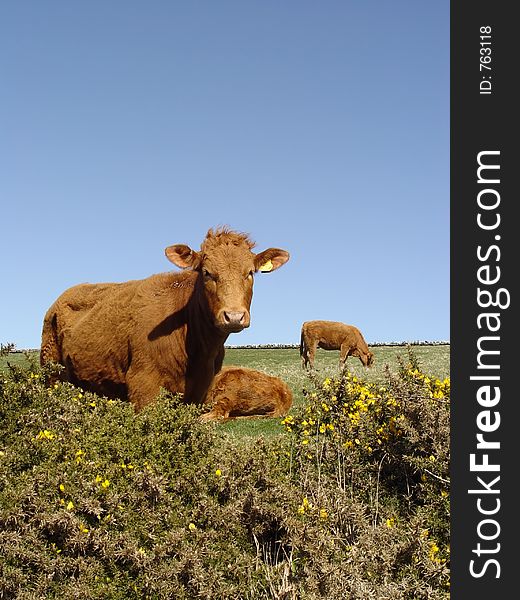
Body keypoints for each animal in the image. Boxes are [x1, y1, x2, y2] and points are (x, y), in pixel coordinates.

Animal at [41, 227, 288, 410]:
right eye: (207, 272)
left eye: (250, 273)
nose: (234, 316)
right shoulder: (143, 386)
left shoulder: (201, 390)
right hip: (51, 373)